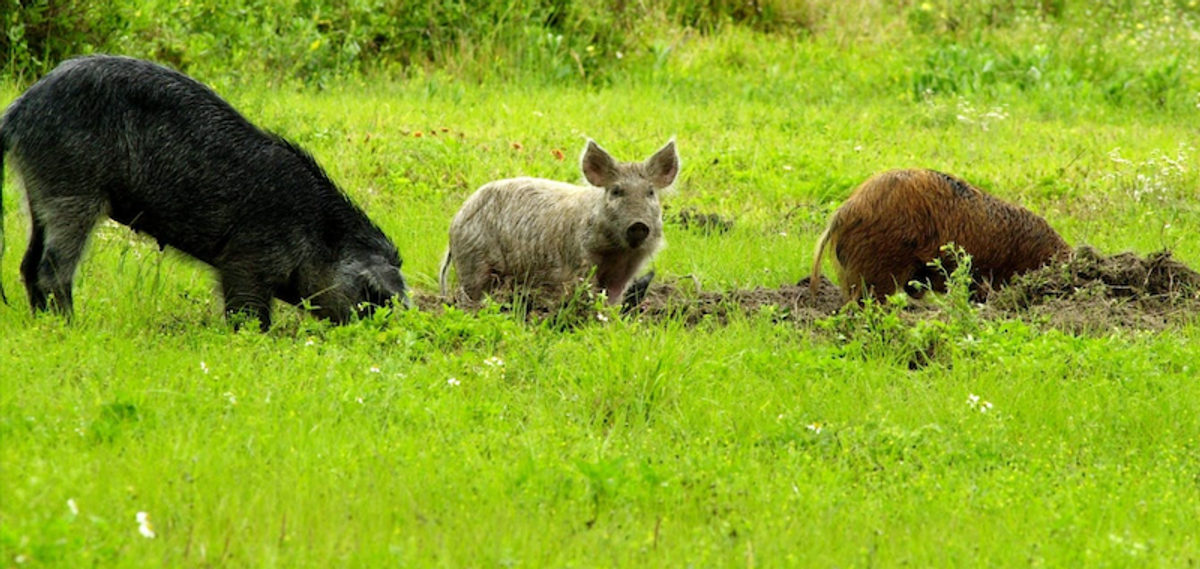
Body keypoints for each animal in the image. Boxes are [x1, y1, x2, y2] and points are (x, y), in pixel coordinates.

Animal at [0, 55, 408, 329]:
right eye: (372, 296)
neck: (318, 234)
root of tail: (18, 110)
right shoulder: (246, 258)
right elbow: (247, 310)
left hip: (37, 191)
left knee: (28, 262)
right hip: (72, 190)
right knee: (52, 266)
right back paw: (71, 326)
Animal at [440, 138, 680, 305]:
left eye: (650, 192)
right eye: (616, 191)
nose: (638, 224)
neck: (618, 252)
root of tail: (456, 220)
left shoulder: (628, 268)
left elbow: (613, 296)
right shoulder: (581, 258)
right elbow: (586, 289)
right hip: (473, 259)